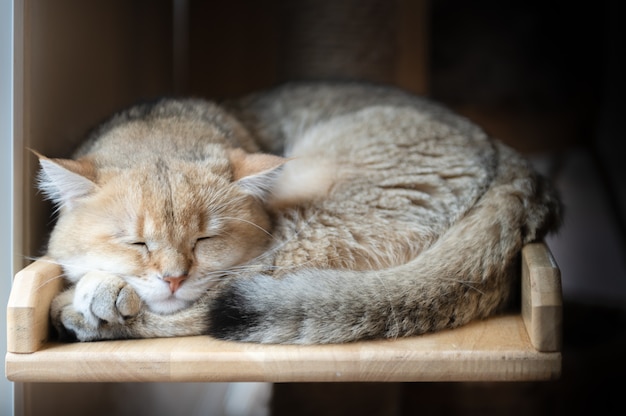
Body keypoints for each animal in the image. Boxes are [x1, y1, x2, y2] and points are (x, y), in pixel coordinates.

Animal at [39, 82, 560, 344]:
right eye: (136, 242)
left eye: (205, 240)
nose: (173, 279)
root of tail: (512, 163)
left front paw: (99, 293)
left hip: (310, 227)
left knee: (214, 309)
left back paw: (79, 312)